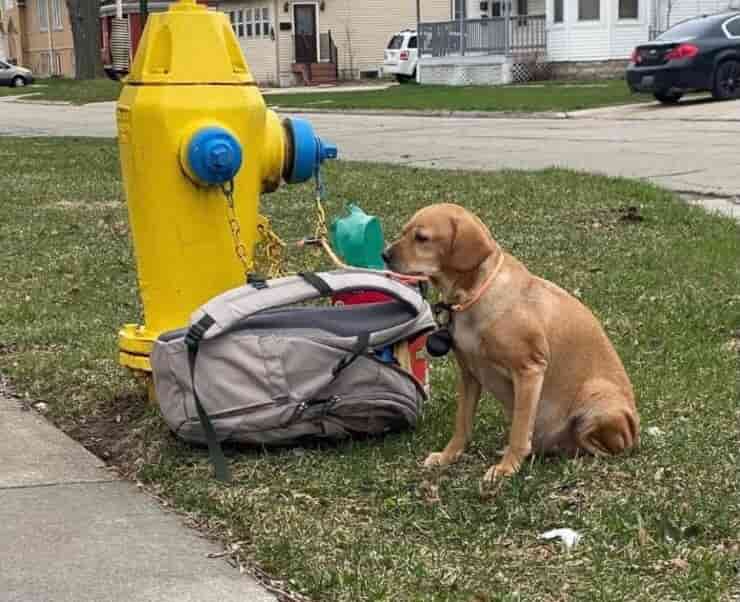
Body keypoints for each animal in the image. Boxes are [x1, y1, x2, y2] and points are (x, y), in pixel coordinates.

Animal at [384, 204, 640, 480]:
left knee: (603, 447)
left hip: (597, 399)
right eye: (404, 231)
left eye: (421, 238)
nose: (384, 255)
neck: (473, 296)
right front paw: (448, 456)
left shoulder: (529, 370)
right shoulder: (469, 374)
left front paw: (507, 467)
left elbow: (519, 430)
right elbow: (462, 424)